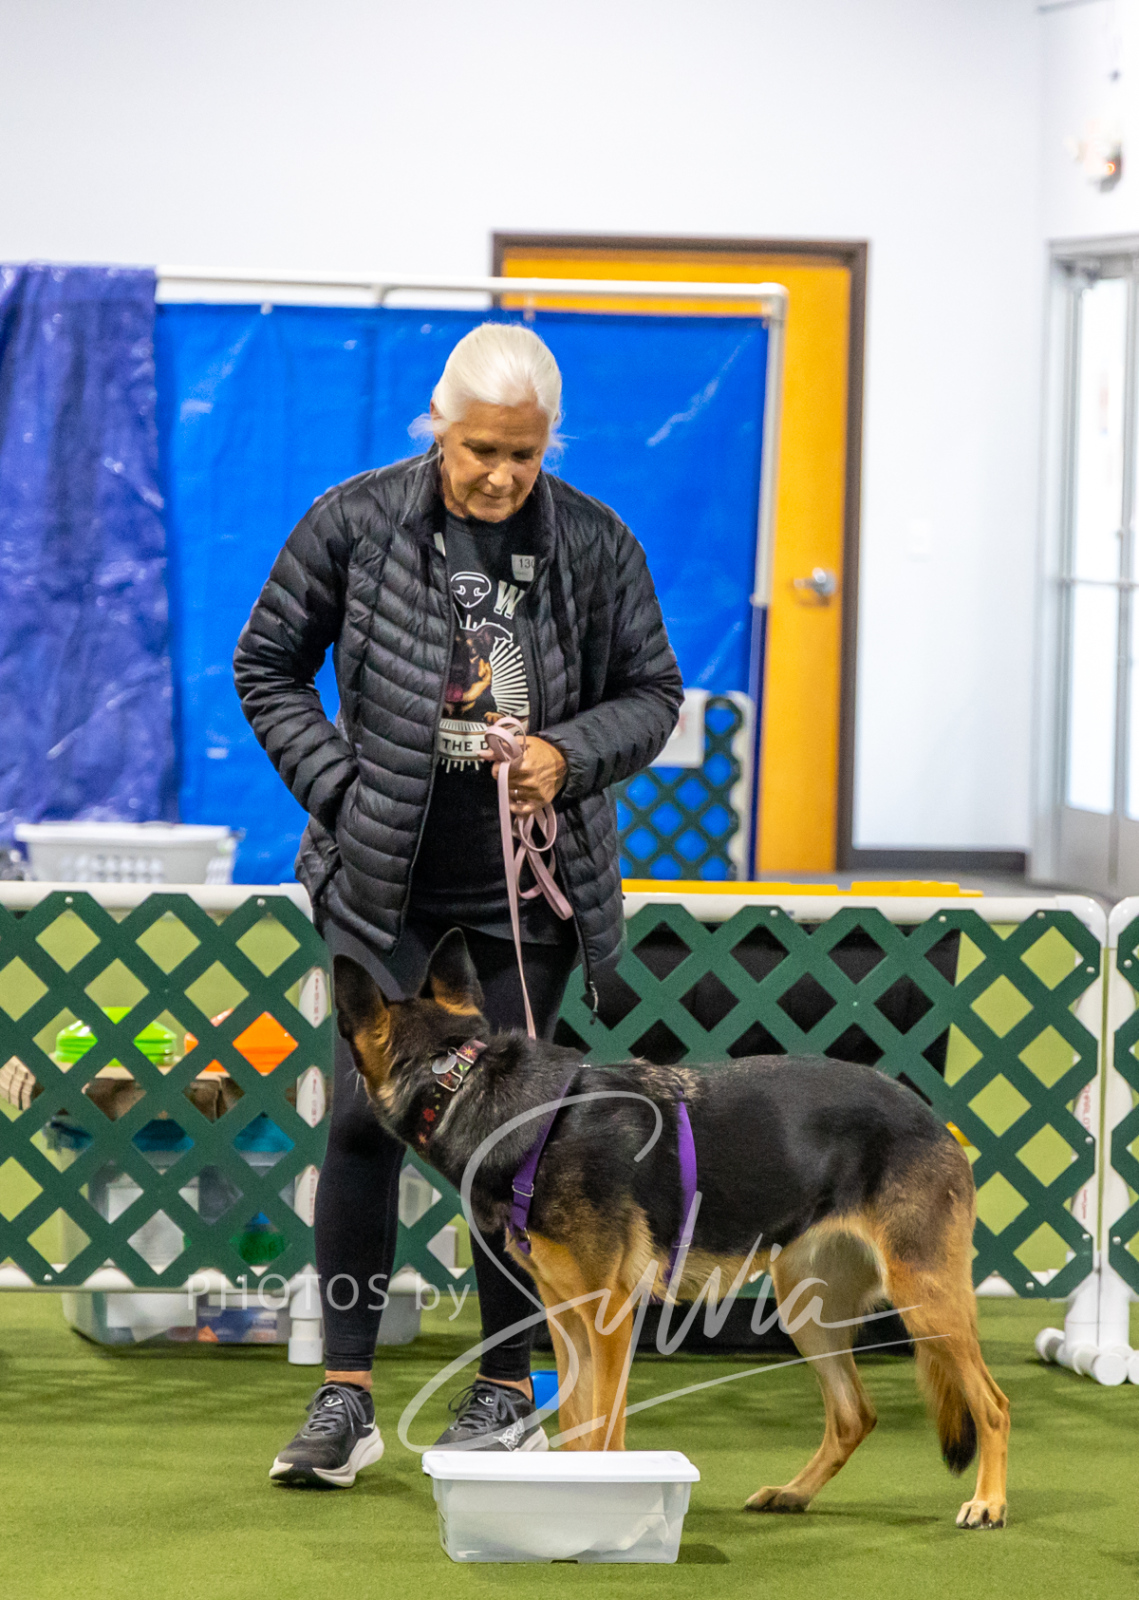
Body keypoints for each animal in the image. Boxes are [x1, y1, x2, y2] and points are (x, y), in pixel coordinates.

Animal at [333, 929, 1009, 1529]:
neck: (465, 1084)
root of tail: (930, 1116)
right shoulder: (566, 1319)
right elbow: (578, 1428)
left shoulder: (609, 1318)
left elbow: (605, 1432)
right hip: (805, 1310)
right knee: (854, 1416)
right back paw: (793, 1494)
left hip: (923, 1299)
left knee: (993, 1405)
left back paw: (989, 1504)